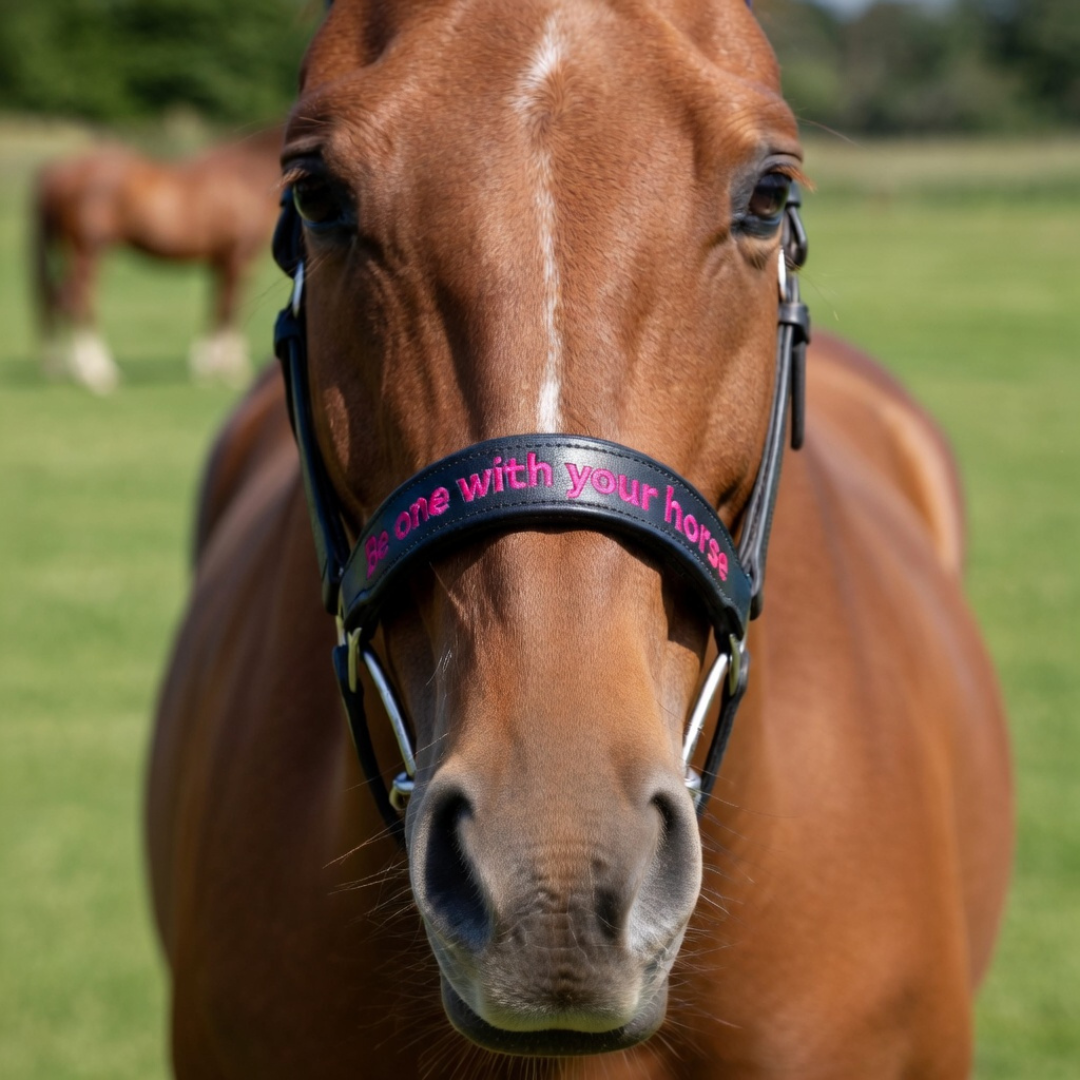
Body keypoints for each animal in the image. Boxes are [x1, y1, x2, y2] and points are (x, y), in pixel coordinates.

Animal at [32, 125, 282, 393]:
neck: (245, 175)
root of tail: (61, 172)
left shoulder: (219, 262)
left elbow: (215, 307)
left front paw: (206, 363)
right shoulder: (237, 259)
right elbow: (228, 309)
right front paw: (227, 367)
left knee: (57, 298)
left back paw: (62, 367)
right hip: (87, 254)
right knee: (76, 301)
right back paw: (96, 372)